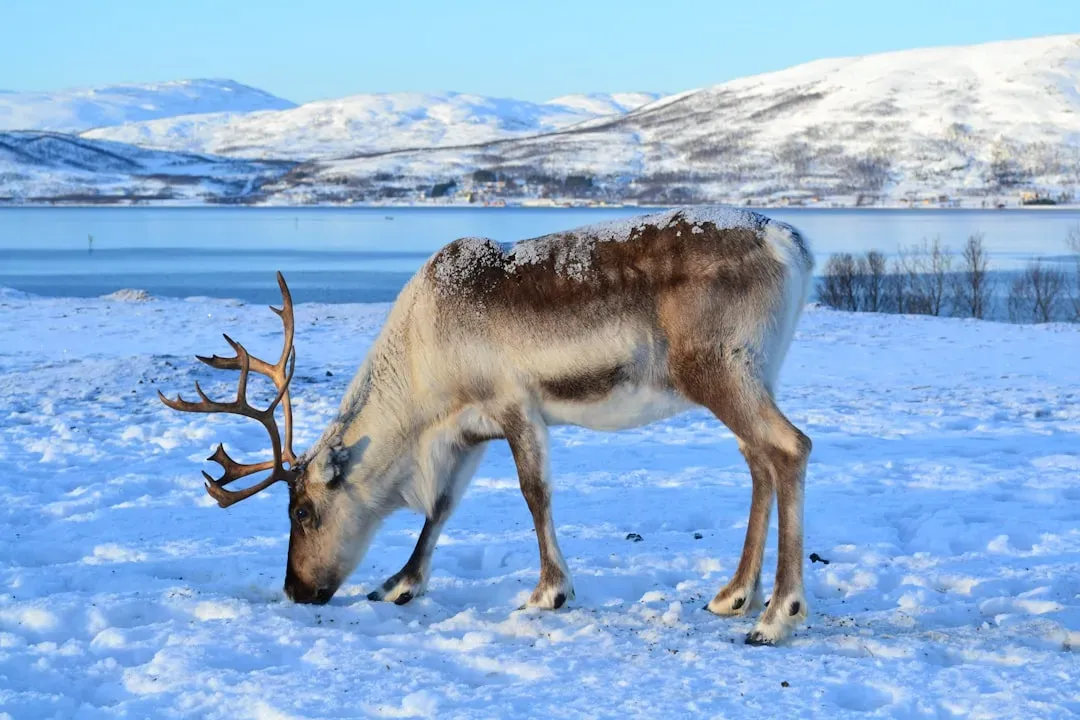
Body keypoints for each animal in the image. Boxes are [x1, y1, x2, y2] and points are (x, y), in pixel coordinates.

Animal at [159, 207, 814, 645]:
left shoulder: (515, 406)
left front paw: (549, 591)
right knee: (758, 461)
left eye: (301, 511)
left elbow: (534, 493)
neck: (421, 369)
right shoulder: (467, 431)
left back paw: (776, 614)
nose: (296, 589)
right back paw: (734, 595)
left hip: (719, 370)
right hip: (753, 374)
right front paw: (399, 583)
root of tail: (790, 241)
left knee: (790, 447)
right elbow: (440, 508)